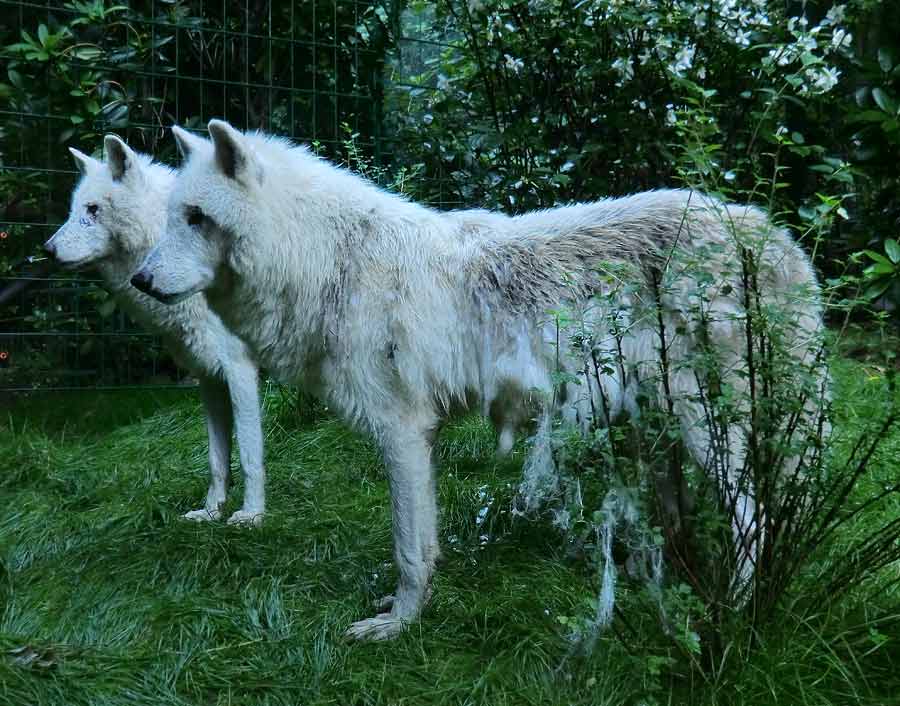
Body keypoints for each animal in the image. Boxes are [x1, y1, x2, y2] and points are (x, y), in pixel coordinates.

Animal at [45, 136, 266, 524]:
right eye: (73, 210)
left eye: (93, 209)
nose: (48, 250)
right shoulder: (209, 377)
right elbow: (216, 459)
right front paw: (211, 513)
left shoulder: (239, 370)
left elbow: (249, 453)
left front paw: (251, 516)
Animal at [130, 121, 828, 640]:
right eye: (170, 217)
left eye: (197, 217)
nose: (140, 279)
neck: (335, 263)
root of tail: (773, 233)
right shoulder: (421, 437)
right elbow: (426, 541)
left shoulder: (402, 431)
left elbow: (410, 549)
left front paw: (399, 624)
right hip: (662, 428)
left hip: (709, 430)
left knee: (755, 517)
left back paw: (738, 612)